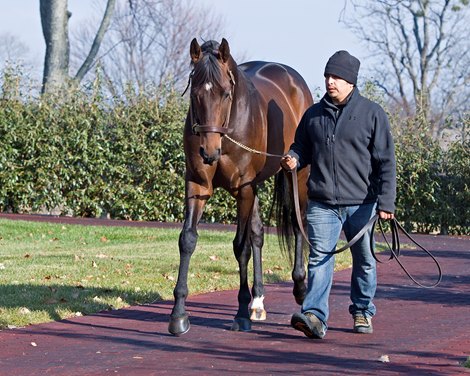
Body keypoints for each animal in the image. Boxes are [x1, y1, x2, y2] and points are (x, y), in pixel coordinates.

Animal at [167, 38, 314, 334]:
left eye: (225, 94)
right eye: (195, 93)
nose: (208, 152)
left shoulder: (243, 190)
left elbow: (240, 247)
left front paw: (241, 313)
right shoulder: (198, 186)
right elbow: (187, 240)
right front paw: (178, 315)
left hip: (296, 174)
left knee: (298, 223)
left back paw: (300, 287)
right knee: (258, 233)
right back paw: (258, 301)